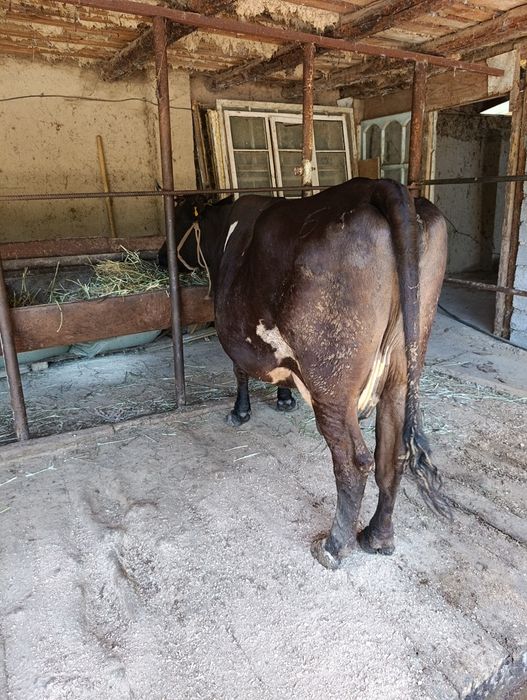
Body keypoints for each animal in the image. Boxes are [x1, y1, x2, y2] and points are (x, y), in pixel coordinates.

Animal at [161, 178, 449, 569]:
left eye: (177, 221)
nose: (159, 256)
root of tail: (379, 185)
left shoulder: (234, 330)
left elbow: (239, 370)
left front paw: (239, 412)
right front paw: (284, 399)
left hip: (332, 384)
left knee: (353, 460)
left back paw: (334, 546)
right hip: (402, 372)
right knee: (392, 454)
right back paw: (377, 536)